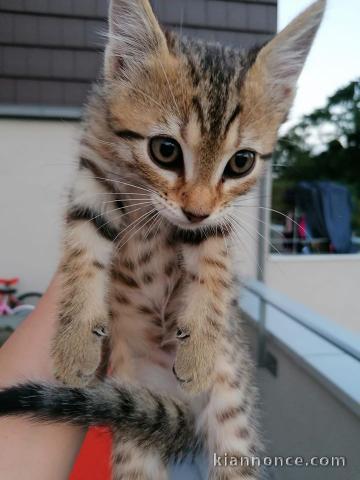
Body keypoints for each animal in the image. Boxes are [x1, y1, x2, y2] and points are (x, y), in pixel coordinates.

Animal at [0, 0, 326, 480]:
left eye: (241, 162)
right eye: (165, 151)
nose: (194, 211)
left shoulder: (217, 218)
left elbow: (214, 264)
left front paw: (201, 346)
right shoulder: (93, 173)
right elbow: (83, 244)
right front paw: (74, 341)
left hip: (233, 422)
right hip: (134, 435)